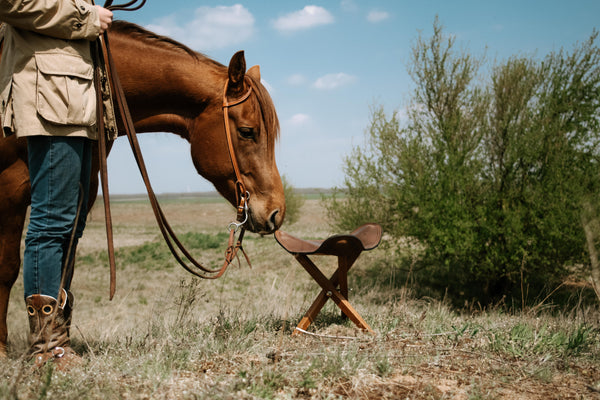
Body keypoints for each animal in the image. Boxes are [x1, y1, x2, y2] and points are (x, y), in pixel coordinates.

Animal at [0, 20, 286, 354]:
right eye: (247, 131)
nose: (276, 212)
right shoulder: (10, 184)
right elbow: (8, 267)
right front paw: (3, 347)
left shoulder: (84, 187)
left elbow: (64, 265)